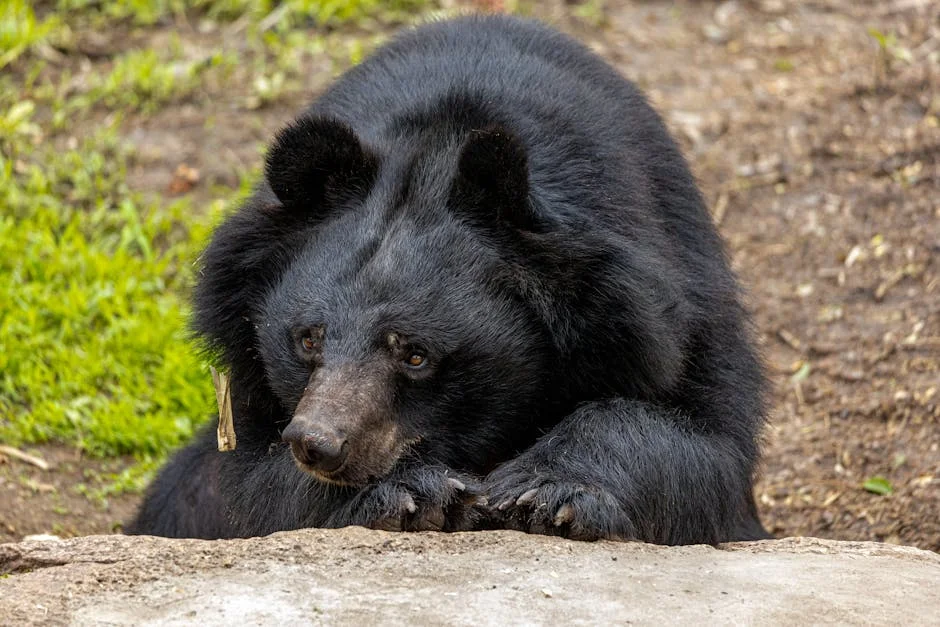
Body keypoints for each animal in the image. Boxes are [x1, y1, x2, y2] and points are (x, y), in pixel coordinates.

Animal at [126, 14, 770, 545]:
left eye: (416, 354)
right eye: (307, 339)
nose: (316, 443)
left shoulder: (667, 300)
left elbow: (702, 447)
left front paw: (544, 493)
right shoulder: (247, 380)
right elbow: (254, 487)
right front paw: (416, 493)